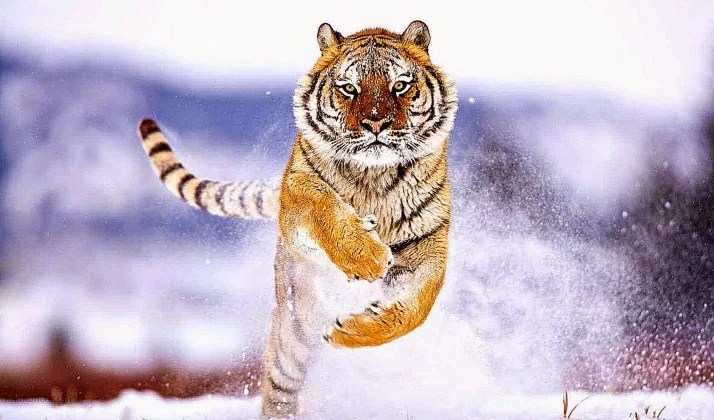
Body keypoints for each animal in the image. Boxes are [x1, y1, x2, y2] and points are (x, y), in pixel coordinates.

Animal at [137, 20, 457, 418]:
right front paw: (366, 257)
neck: (374, 176)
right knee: (279, 385)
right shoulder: (298, 196)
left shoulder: (428, 244)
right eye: (348, 88)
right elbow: (321, 203)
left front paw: (350, 331)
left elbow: (416, 308)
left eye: (400, 85)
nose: (376, 123)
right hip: (294, 330)